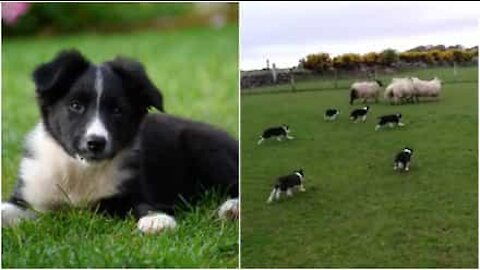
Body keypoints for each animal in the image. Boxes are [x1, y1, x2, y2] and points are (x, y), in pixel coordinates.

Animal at [0, 49, 238, 233]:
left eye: (117, 110)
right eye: (75, 106)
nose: (96, 143)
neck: (80, 170)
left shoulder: (129, 191)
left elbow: (138, 204)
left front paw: (156, 219)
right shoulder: (30, 194)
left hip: (204, 146)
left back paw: (232, 208)